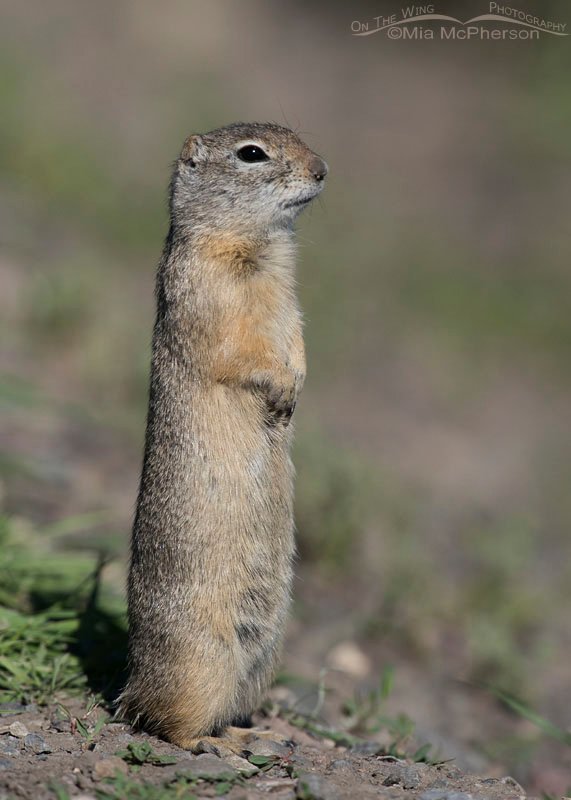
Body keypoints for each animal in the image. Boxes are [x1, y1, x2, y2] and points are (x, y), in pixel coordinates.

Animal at [118, 122, 328, 755]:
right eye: (251, 154)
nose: (323, 169)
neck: (258, 249)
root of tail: (131, 684)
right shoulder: (210, 293)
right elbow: (241, 351)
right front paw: (281, 389)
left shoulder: (291, 303)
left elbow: (297, 339)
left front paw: (298, 384)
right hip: (201, 659)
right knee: (165, 724)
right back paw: (220, 747)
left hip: (262, 656)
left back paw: (254, 734)